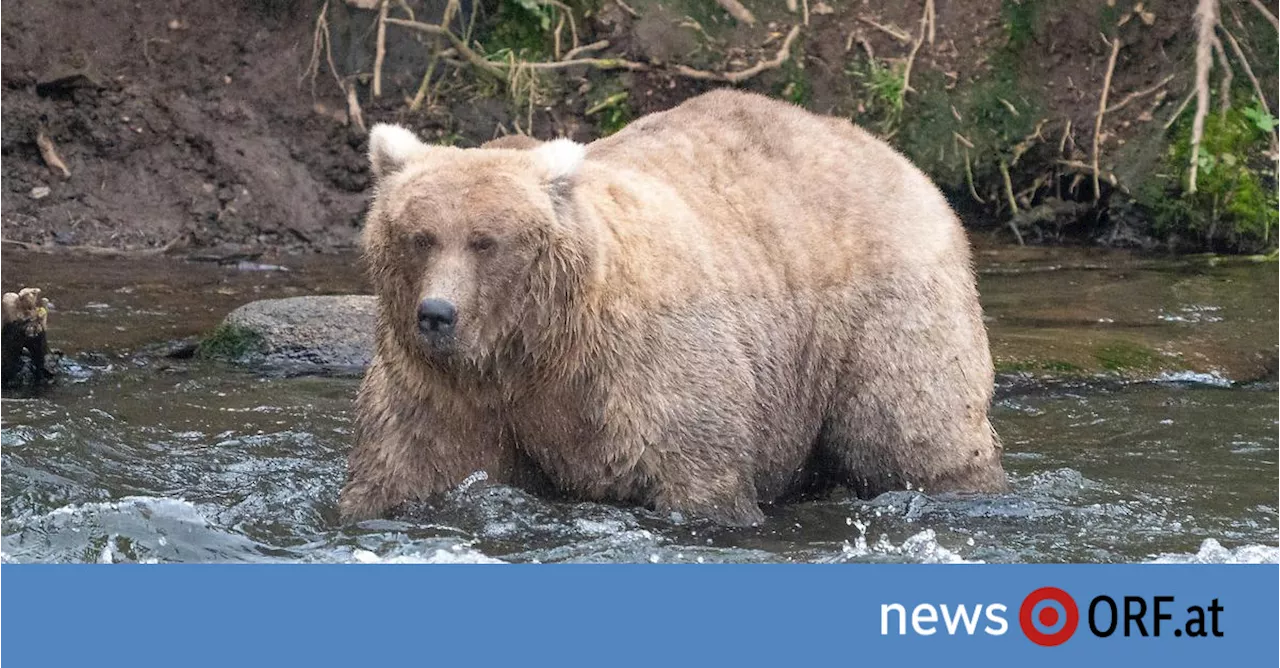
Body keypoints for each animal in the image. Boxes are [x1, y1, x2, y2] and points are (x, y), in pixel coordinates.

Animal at [343, 89, 1008, 524]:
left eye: (485, 241)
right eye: (420, 236)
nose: (437, 314)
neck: (532, 347)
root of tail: (893, 155)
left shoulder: (641, 368)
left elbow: (694, 469)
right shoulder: (445, 390)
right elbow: (408, 467)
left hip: (883, 310)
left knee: (912, 428)